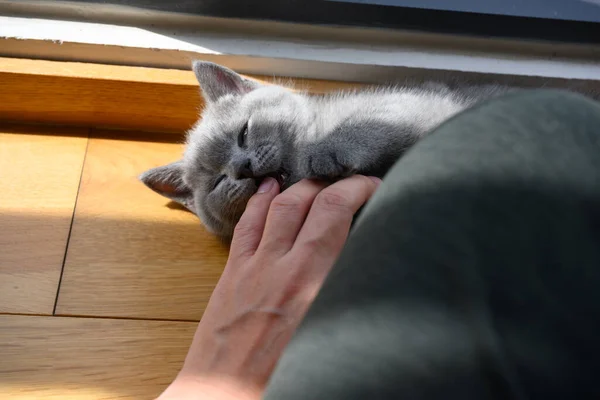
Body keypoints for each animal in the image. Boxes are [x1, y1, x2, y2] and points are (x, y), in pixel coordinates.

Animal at [138, 60, 556, 239]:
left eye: (244, 132)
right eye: (218, 182)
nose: (242, 168)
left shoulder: (412, 103)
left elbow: (369, 124)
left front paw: (328, 152)